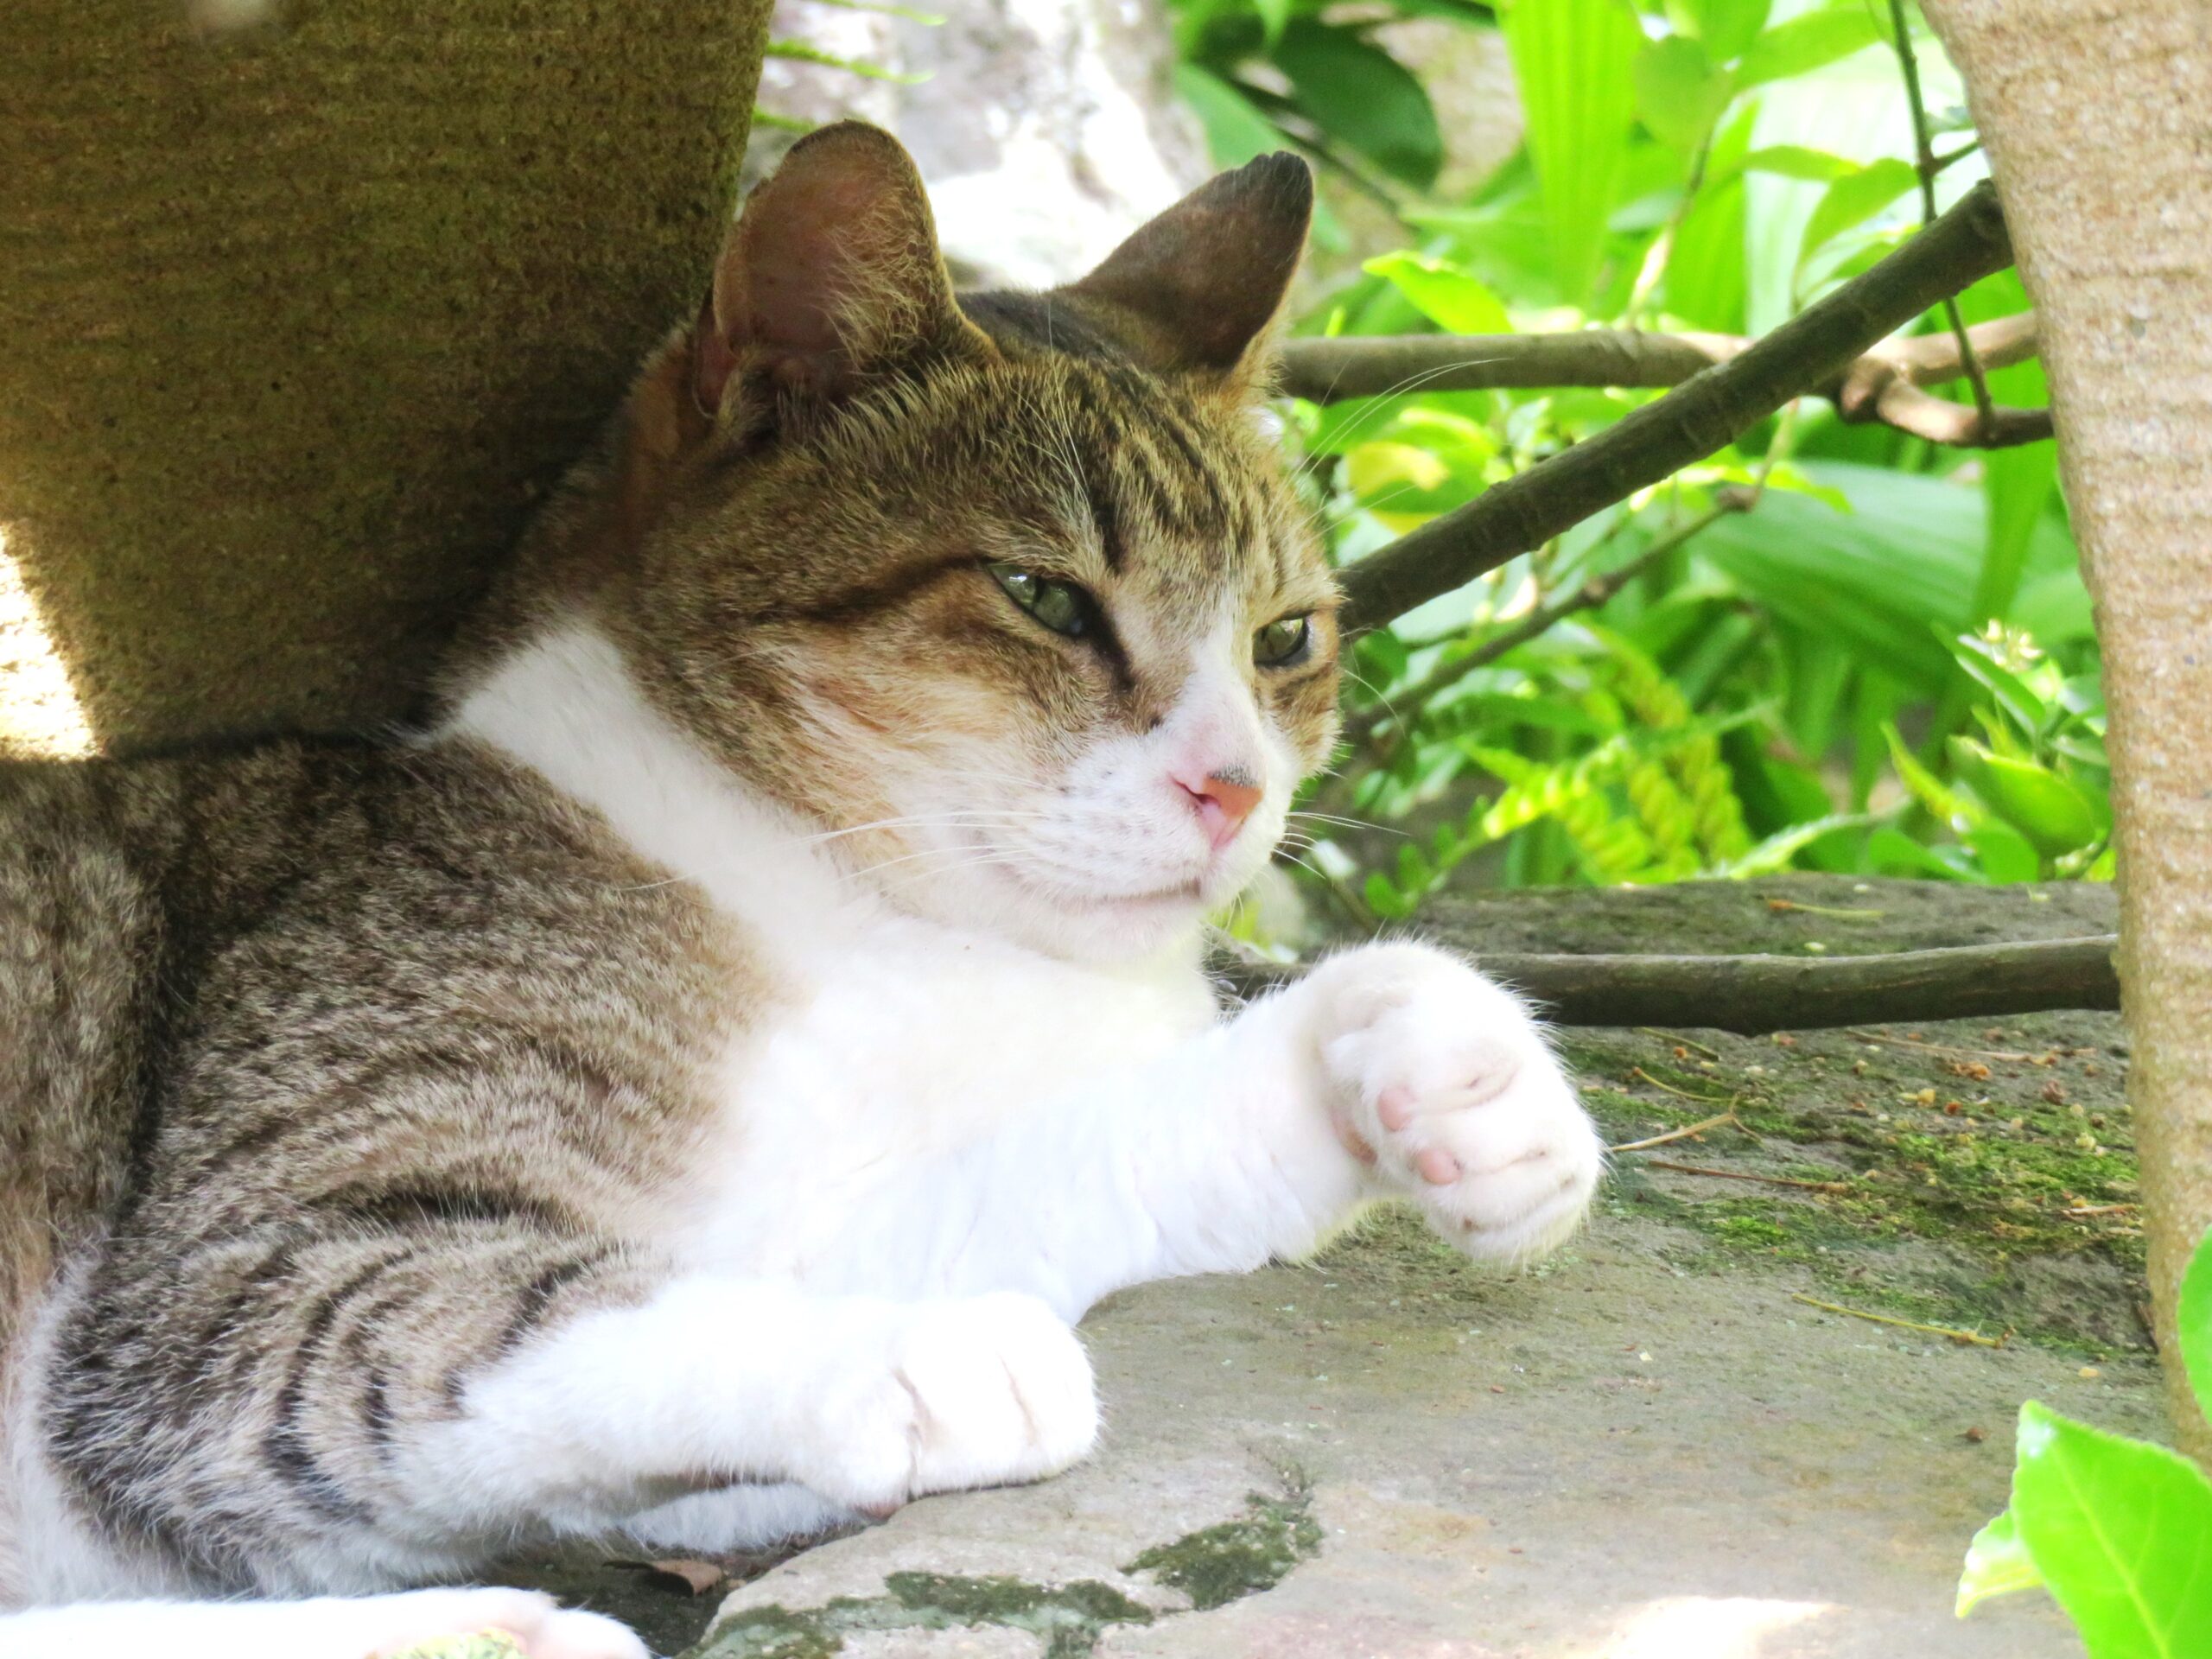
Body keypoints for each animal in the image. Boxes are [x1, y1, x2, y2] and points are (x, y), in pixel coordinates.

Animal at [0, 126, 1601, 1659]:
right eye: (1042, 596)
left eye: (1285, 642)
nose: (1236, 789)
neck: (865, 916)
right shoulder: (219, 1291)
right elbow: (497, 1315)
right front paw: (905, 1349)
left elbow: (1036, 1176)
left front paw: (1428, 1072)